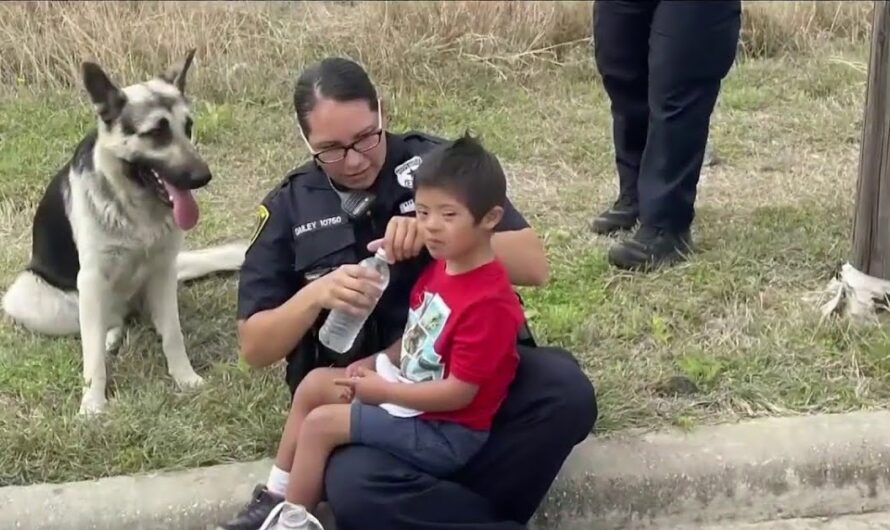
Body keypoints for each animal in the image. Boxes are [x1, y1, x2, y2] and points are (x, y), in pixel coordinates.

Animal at [1, 49, 246, 412]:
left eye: (187, 127)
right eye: (157, 132)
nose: (203, 177)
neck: (135, 209)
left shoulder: (163, 271)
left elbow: (173, 336)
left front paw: (185, 379)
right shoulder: (90, 279)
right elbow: (92, 359)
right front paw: (92, 404)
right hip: (29, 297)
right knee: (102, 324)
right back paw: (108, 338)